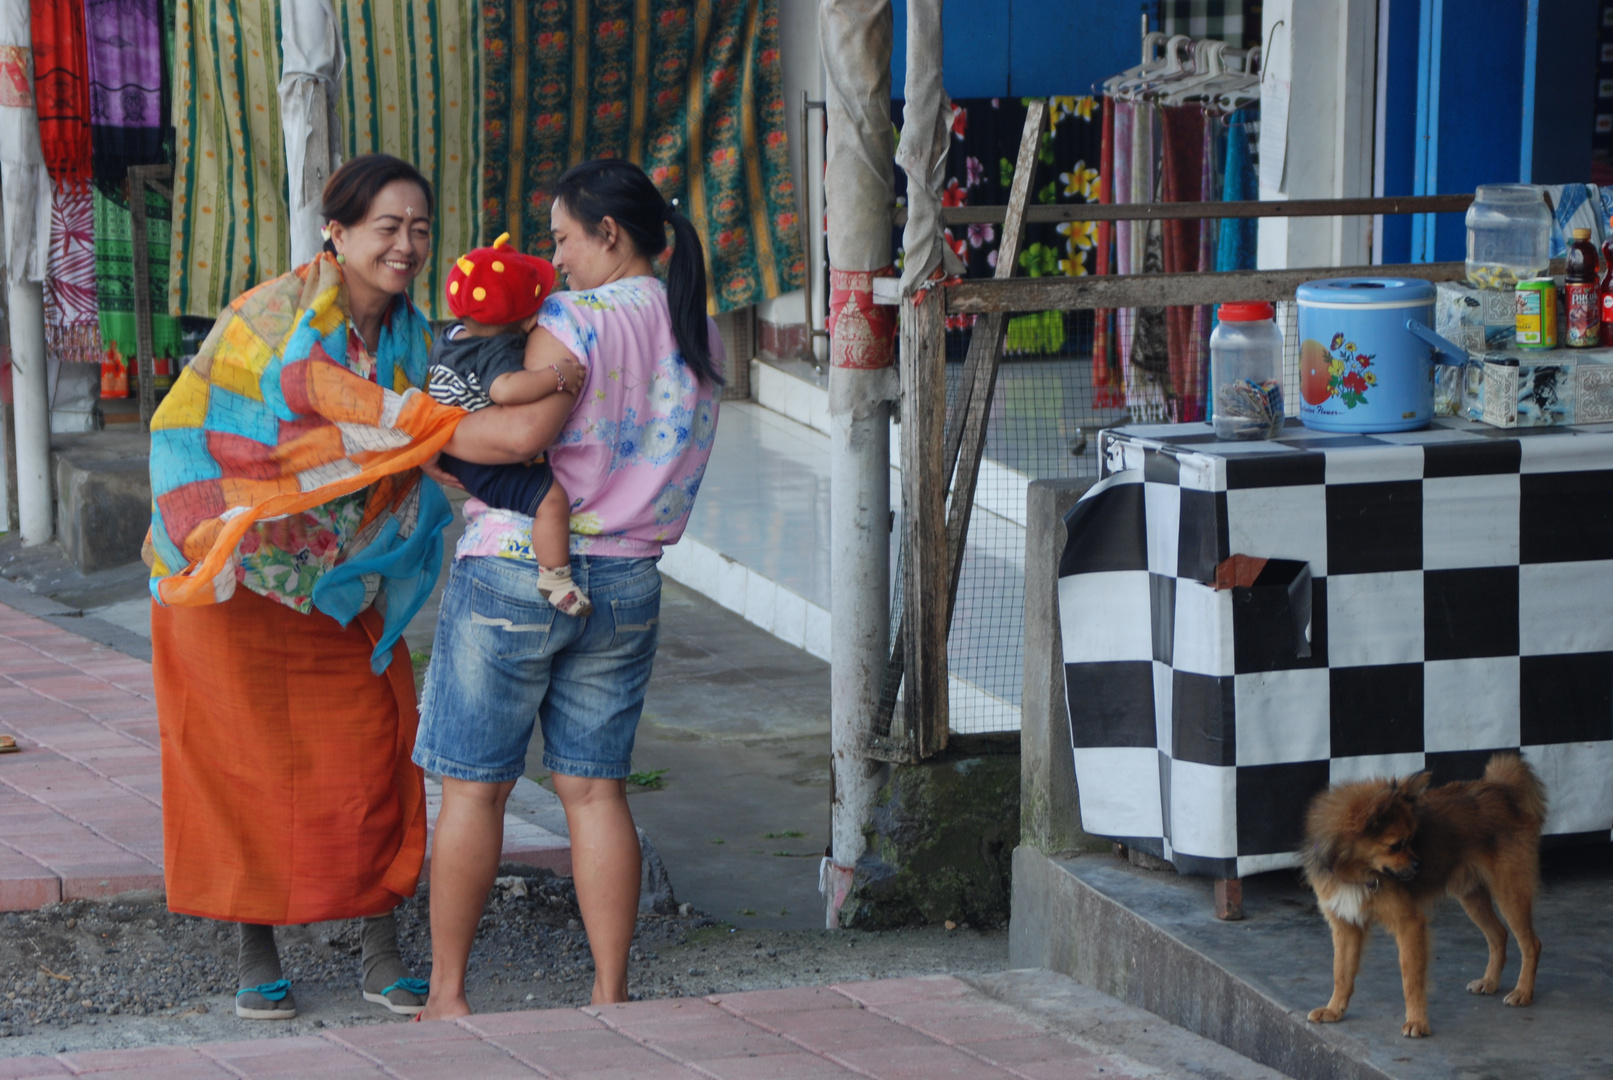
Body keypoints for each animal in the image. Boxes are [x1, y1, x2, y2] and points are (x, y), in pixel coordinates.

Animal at [1296, 754, 1548, 1038]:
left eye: (1412, 838)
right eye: (1396, 846)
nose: (1419, 866)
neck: (1356, 873)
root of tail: (1501, 790)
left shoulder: (1409, 925)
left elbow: (1411, 978)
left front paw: (1417, 1021)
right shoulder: (1345, 925)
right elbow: (1341, 972)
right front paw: (1334, 1010)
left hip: (1510, 893)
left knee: (1531, 944)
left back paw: (1523, 992)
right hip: (1471, 896)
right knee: (1499, 935)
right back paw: (1490, 981)